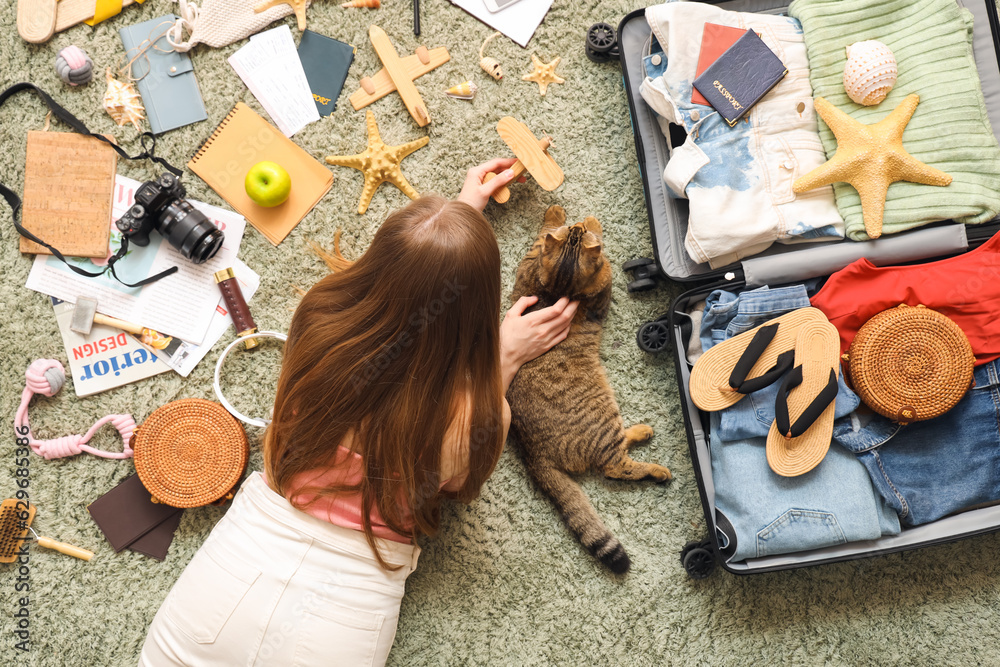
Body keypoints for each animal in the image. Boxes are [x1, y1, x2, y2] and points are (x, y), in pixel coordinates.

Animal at [508, 207, 672, 576]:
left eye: (574, 231)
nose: (578, 225)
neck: (558, 292)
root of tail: (532, 451)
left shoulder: (530, 265)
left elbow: (540, 239)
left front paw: (558, 218)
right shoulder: (602, 284)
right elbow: (602, 264)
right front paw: (587, 225)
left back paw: (641, 430)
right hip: (604, 421)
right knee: (616, 466)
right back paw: (658, 468)